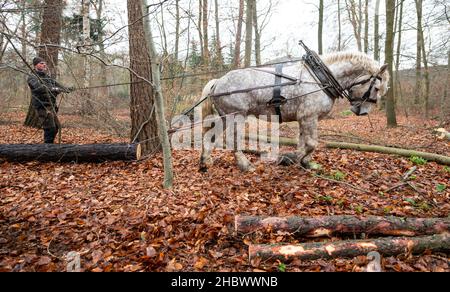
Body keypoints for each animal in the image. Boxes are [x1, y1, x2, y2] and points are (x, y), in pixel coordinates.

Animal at [199, 51, 388, 172]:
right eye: (376, 88)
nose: (362, 112)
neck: (318, 79)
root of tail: (217, 82)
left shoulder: (305, 118)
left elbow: (303, 141)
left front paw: (305, 163)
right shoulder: (309, 116)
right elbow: (311, 143)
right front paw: (290, 158)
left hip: (224, 117)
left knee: (210, 136)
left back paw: (205, 162)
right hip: (236, 116)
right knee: (233, 140)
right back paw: (245, 165)